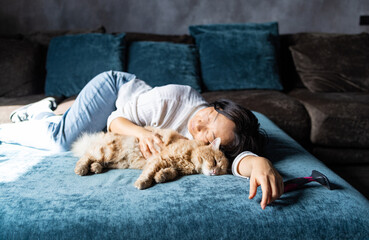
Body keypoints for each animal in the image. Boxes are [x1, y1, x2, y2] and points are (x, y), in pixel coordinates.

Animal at [71, 127, 227, 189]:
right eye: (214, 161)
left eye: (221, 170)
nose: (215, 172)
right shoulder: (158, 159)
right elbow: (148, 174)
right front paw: (142, 183)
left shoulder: (172, 167)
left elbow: (169, 173)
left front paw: (160, 177)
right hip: (106, 152)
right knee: (86, 156)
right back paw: (81, 169)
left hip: (117, 163)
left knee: (97, 162)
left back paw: (95, 168)